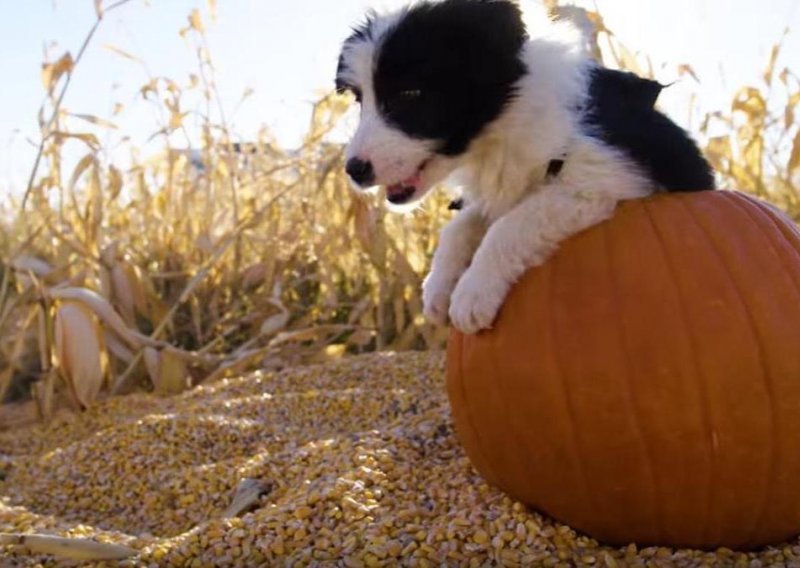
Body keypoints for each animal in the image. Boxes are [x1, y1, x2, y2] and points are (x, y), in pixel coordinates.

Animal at [334, 0, 716, 336]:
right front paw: (437, 289)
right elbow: (459, 226)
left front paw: (471, 295)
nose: (354, 170)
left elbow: (511, 223)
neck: (509, 120)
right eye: (360, 99)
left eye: (410, 94)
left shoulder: (602, 178)